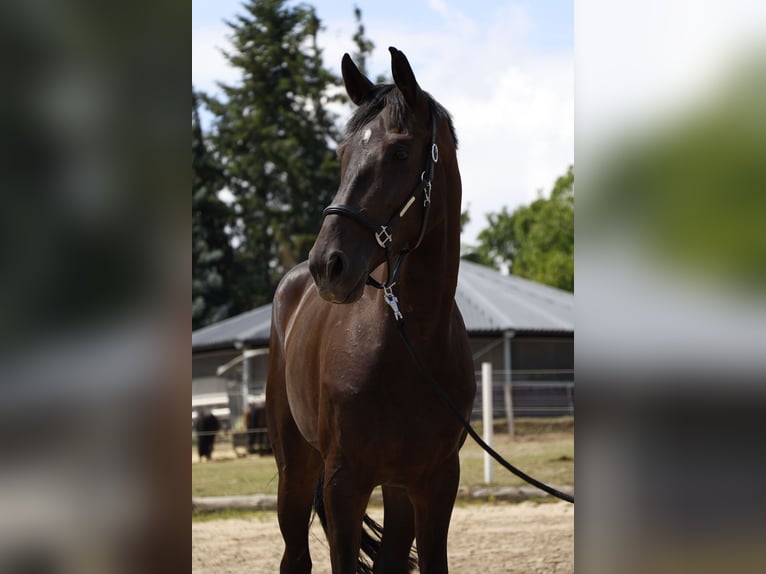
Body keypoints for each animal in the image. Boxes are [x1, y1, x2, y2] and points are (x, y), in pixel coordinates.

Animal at [268, 47, 476, 572]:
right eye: (342, 155)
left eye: (399, 152)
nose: (328, 265)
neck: (410, 344)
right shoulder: (344, 483)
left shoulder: (436, 485)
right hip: (295, 469)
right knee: (295, 557)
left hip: (396, 489)